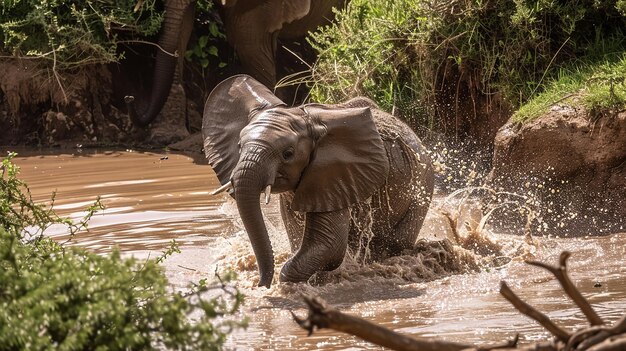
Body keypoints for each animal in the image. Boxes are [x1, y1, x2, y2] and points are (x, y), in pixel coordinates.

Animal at [202, 75, 432, 288]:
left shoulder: (335, 174)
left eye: (288, 153)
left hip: (422, 184)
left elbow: (329, 245)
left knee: (395, 241)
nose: (261, 285)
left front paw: (297, 284)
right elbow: (299, 237)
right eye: (239, 146)